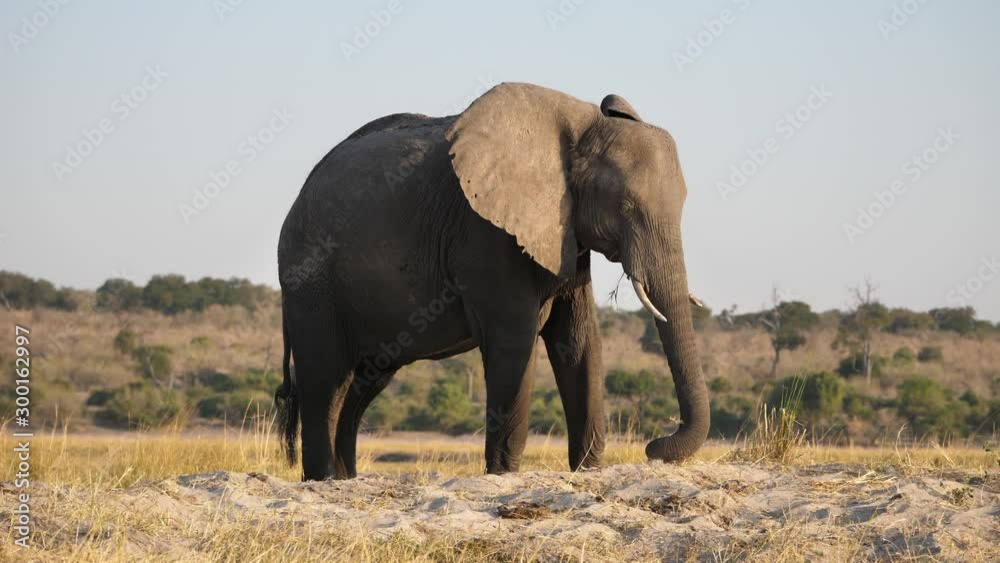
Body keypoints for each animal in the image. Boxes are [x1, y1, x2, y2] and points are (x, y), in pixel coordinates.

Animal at [275, 82, 709, 481]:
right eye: (625, 206)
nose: (653, 447)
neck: (579, 125)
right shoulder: (485, 231)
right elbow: (513, 341)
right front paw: (503, 476)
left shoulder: (565, 233)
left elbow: (579, 341)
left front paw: (587, 472)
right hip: (310, 281)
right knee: (324, 380)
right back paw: (322, 479)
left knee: (361, 383)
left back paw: (345, 479)